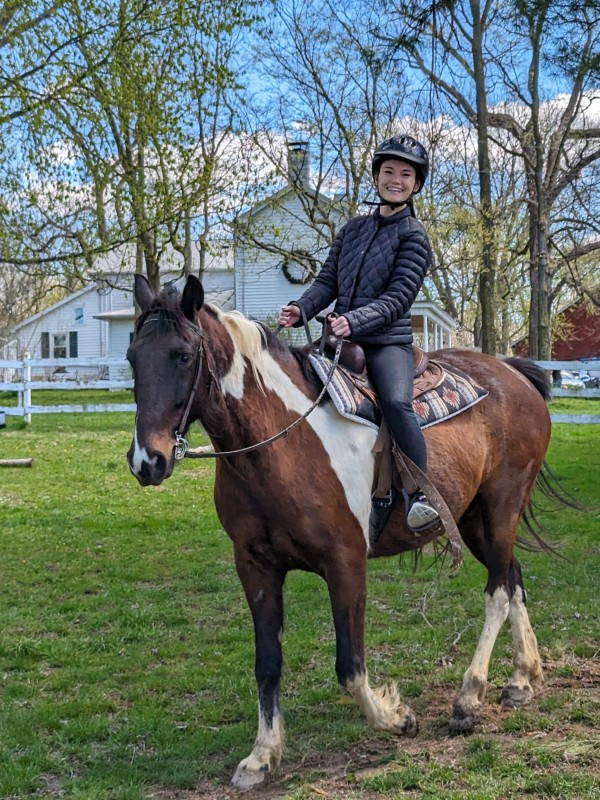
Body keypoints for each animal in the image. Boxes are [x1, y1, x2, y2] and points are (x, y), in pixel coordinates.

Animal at [127, 273, 555, 790]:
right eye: (132, 357)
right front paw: (261, 756)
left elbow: (349, 665)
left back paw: (469, 698)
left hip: (500, 510)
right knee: (513, 578)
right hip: (475, 520)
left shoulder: (345, 562)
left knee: (497, 592)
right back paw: (522, 679)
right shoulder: (254, 566)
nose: (147, 461)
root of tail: (513, 374)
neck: (285, 441)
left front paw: (396, 717)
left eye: (184, 356)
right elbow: (267, 664)